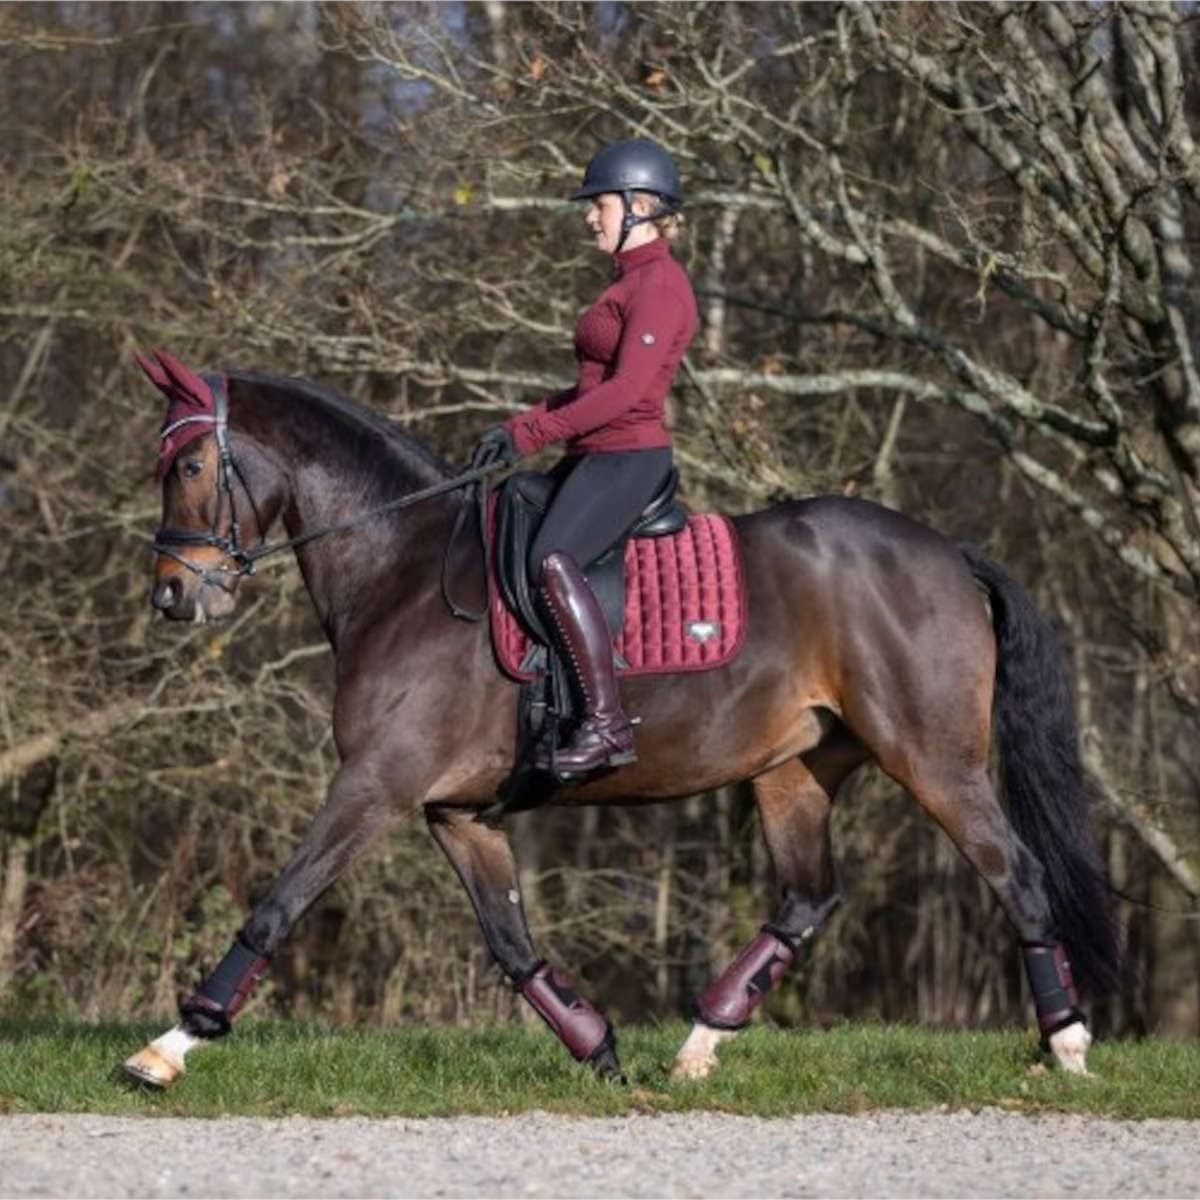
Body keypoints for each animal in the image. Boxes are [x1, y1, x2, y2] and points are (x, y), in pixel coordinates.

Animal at [122, 351, 1120, 1088]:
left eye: (190, 464)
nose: (173, 595)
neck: (404, 568)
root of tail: (946, 551)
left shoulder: (376, 784)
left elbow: (278, 905)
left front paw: (171, 1046)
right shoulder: (455, 812)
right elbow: (513, 946)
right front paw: (599, 1049)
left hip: (933, 759)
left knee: (1016, 874)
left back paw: (1067, 1047)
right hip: (795, 771)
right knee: (807, 898)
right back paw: (699, 1045)